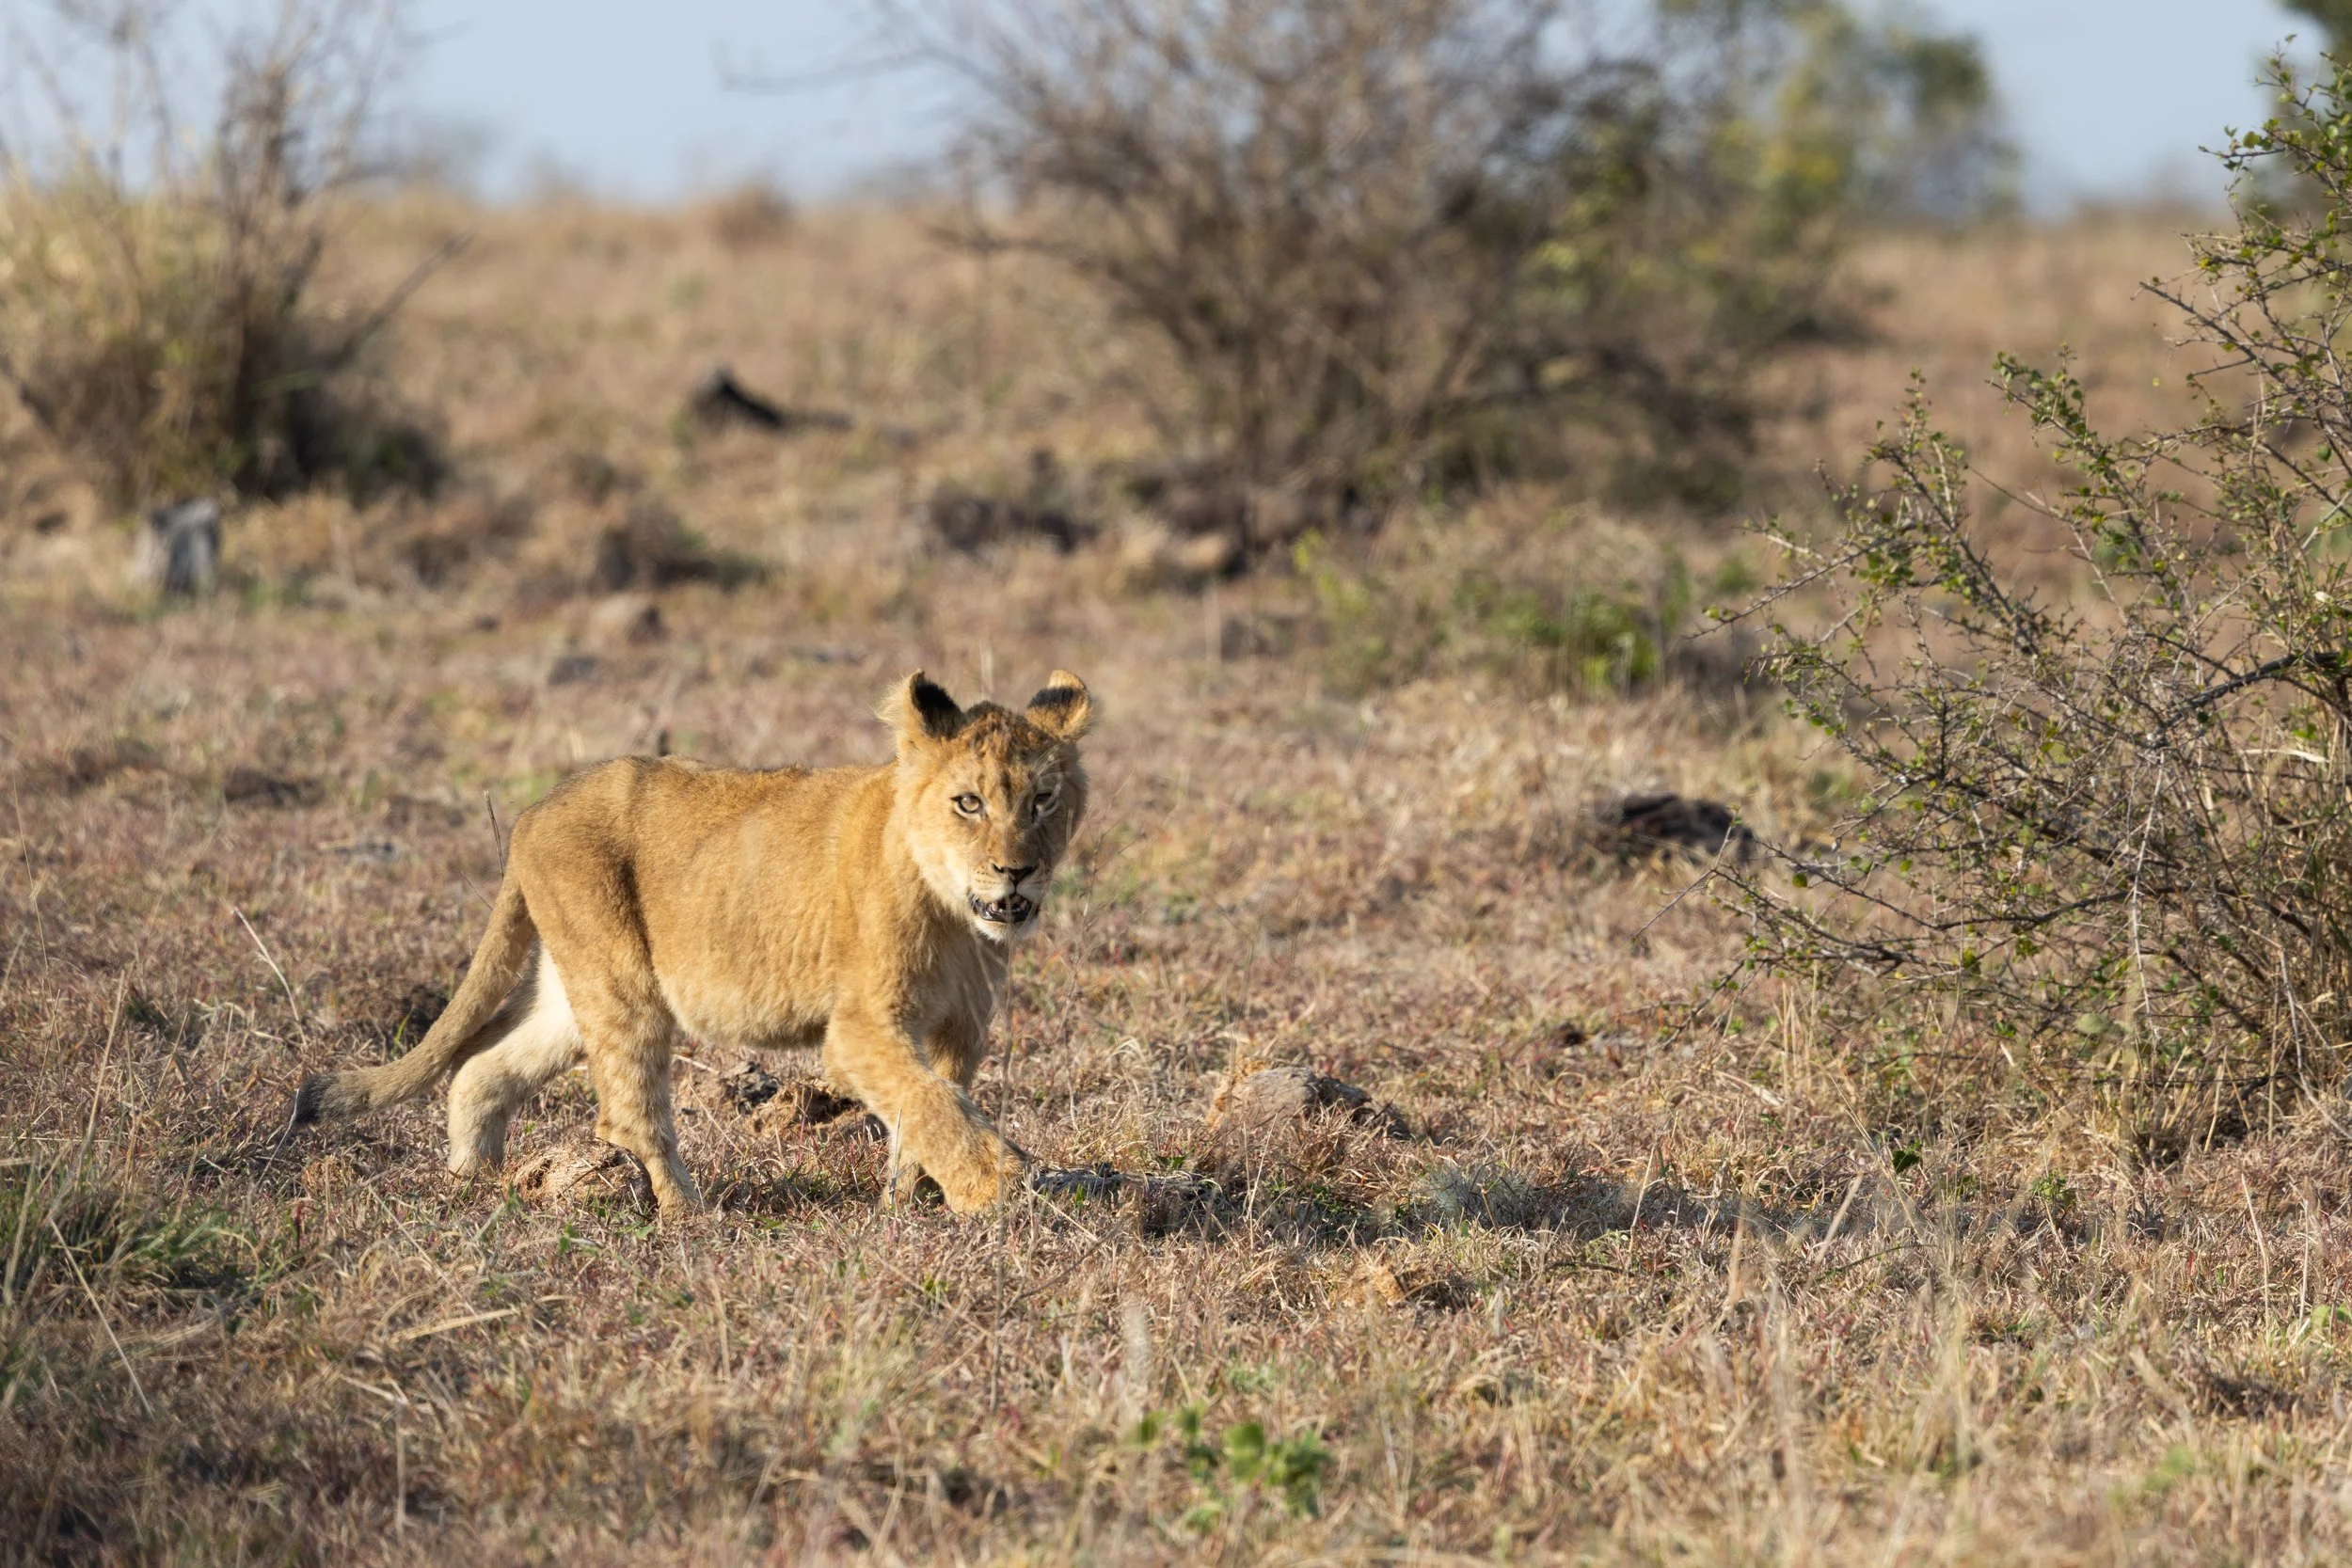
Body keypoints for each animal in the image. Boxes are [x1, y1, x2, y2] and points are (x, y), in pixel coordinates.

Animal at [293, 669, 1093, 1217]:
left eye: (1042, 800)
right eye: (969, 802)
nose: (1016, 870)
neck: (959, 917)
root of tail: (532, 813)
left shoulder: (960, 1028)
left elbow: (931, 1106)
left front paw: (908, 1203)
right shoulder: (862, 1027)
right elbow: (932, 1104)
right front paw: (998, 1187)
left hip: (573, 992)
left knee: (482, 1066)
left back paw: (474, 1180)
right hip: (623, 984)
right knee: (628, 1112)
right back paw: (691, 1216)